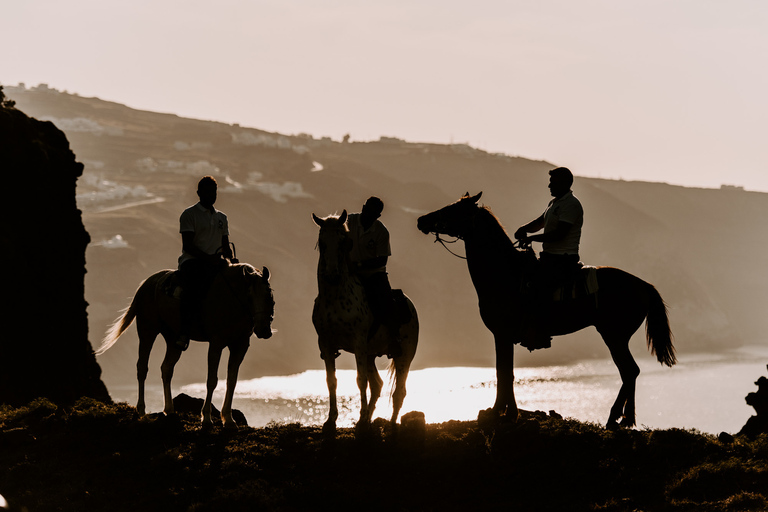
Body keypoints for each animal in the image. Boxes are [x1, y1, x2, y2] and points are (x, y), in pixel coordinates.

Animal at [97, 264, 272, 428]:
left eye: (269, 295)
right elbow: (212, 380)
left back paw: (169, 410)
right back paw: (141, 409)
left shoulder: (240, 346)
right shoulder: (216, 344)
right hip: (147, 331)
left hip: (172, 340)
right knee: (142, 368)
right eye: (249, 296)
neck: (230, 301)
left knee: (166, 369)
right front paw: (206, 418)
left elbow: (232, 381)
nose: (264, 329)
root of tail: (147, 283)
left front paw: (228, 419)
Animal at [312, 211, 420, 432]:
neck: (335, 297)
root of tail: (410, 305)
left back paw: (390, 424)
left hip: (404, 355)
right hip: (371, 355)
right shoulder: (326, 344)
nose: (332, 275)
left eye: (343, 242)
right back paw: (367, 420)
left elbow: (360, 381)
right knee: (377, 385)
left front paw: (360, 419)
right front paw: (331, 421)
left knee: (399, 391)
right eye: (322, 242)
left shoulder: (358, 343)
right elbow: (331, 381)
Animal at [416, 192, 676, 428]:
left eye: (453, 209)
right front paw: (504, 411)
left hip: (614, 336)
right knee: (630, 372)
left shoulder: (502, 333)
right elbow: (505, 371)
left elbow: (504, 372)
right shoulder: (503, 336)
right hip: (616, 336)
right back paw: (625, 419)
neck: (506, 273)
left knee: (629, 371)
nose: (422, 220)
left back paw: (615, 418)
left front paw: (503, 413)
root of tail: (644, 285)